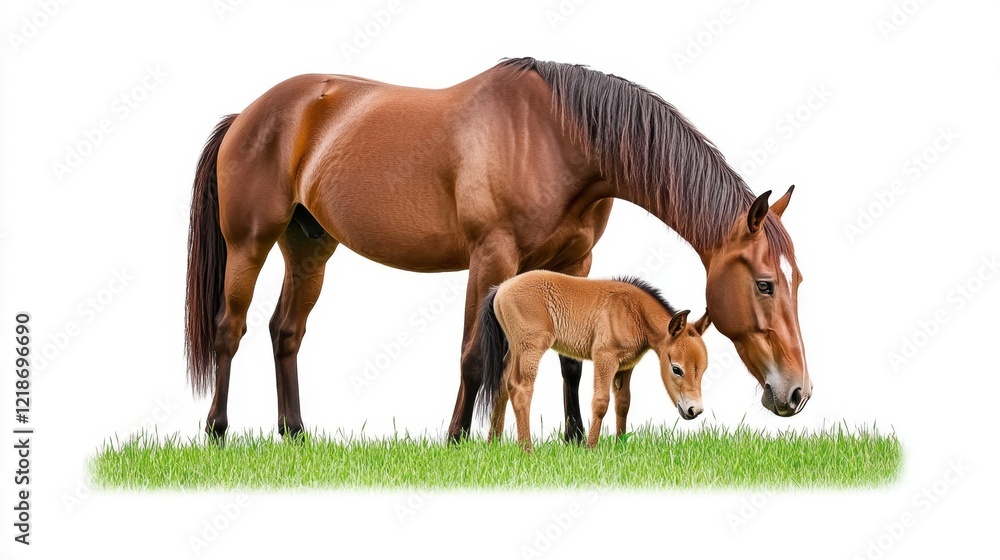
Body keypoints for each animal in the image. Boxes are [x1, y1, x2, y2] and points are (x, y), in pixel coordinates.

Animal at [475, 271, 711, 451]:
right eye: (676, 369)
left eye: (703, 370)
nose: (695, 411)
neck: (632, 311)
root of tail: (500, 288)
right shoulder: (604, 357)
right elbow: (601, 402)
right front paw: (591, 448)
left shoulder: (626, 366)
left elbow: (623, 403)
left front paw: (620, 446)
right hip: (530, 348)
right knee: (520, 387)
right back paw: (527, 449)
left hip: (515, 350)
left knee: (502, 383)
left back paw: (492, 444)